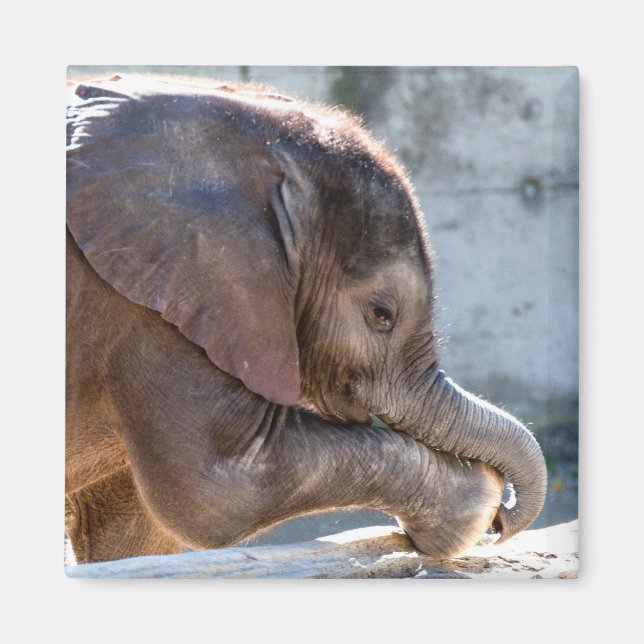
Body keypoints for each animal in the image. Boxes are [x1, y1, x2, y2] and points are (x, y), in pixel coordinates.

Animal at [65, 75, 546, 565]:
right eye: (382, 315)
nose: (503, 522)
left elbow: (133, 532)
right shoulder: (145, 305)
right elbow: (219, 489)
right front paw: (474, 503)